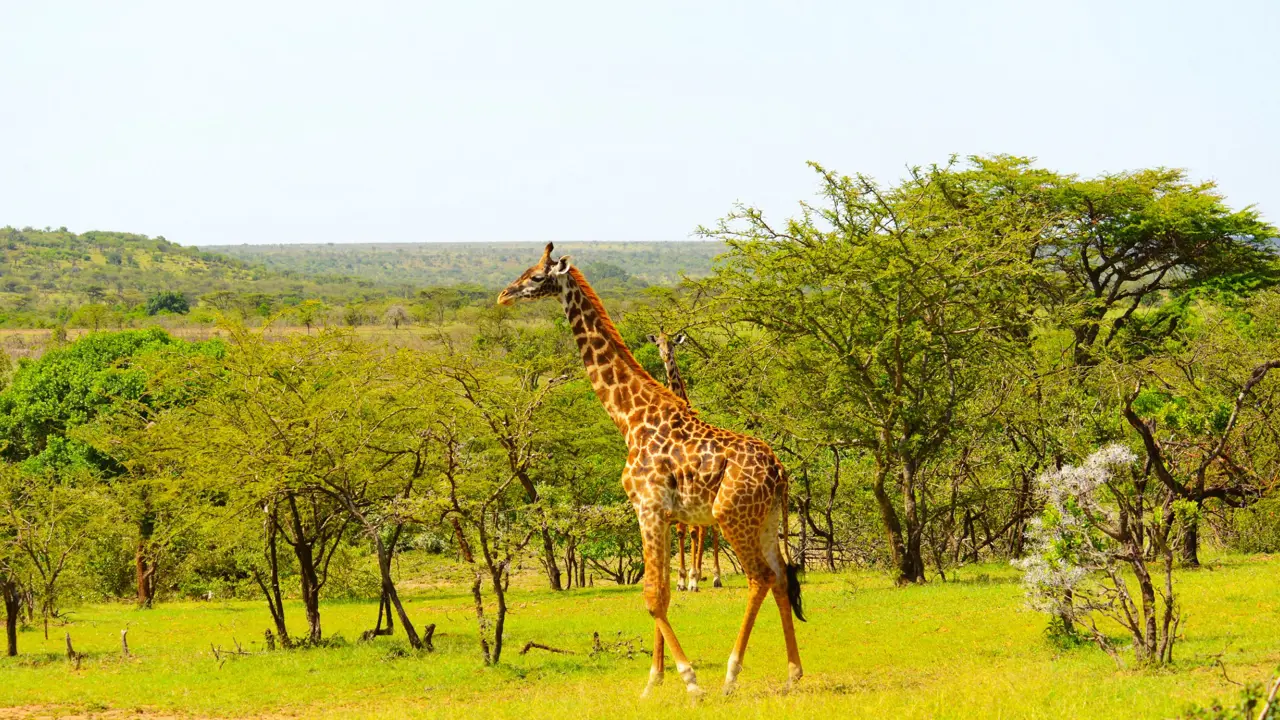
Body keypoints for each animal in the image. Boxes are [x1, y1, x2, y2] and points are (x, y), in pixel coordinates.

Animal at [646, 331, 723, 593]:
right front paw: (680, 579)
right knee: (700, 528)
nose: (666, 356)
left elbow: (692, 531)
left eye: (672, 344)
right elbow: (680, 531)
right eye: (658, 344)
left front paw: (692, 577)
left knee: (709, 528)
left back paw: (714, 576)